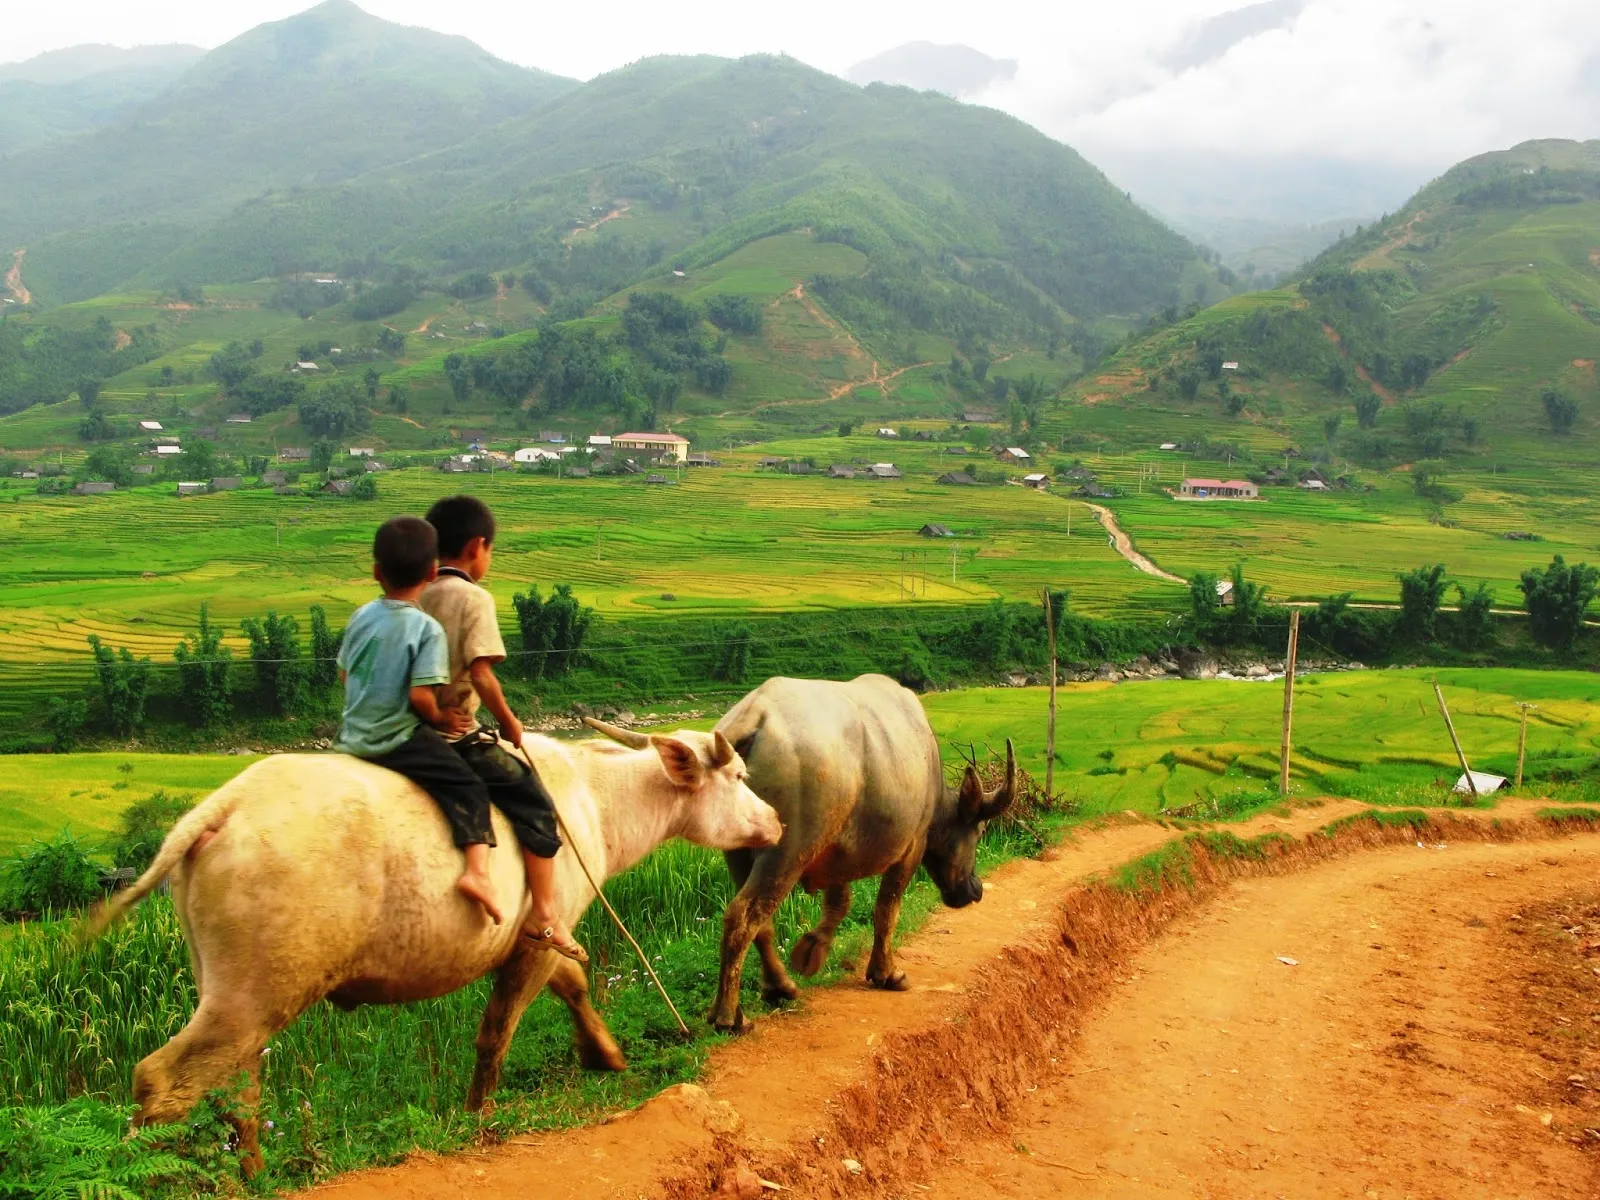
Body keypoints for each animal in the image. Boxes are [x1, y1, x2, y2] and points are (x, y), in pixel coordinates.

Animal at [84, 729, 784, 1171]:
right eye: (739, 776)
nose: (776, 822)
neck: (594, 799)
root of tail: (219, 810)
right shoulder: (538, 938)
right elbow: (497, 1029)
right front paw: (479, 1113)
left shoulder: (543, 934)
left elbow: (574, 986)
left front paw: (605, 1055)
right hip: (255, 995)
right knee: (163, 1080)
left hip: (231, 993)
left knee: (237, 1087)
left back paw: (256, 1172)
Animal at [710, 678, 1017, 1036]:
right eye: (980, 831)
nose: (975, 889)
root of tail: (752, 720)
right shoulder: (912, 847)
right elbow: (887, 910)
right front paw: (887, 974)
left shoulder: (836, 851)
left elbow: (839, 902)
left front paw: (812, 950)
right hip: (787, 850)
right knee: (743, 915)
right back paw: (729, 1015)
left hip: (737, 851)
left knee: (759, 921)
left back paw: (777, 987)